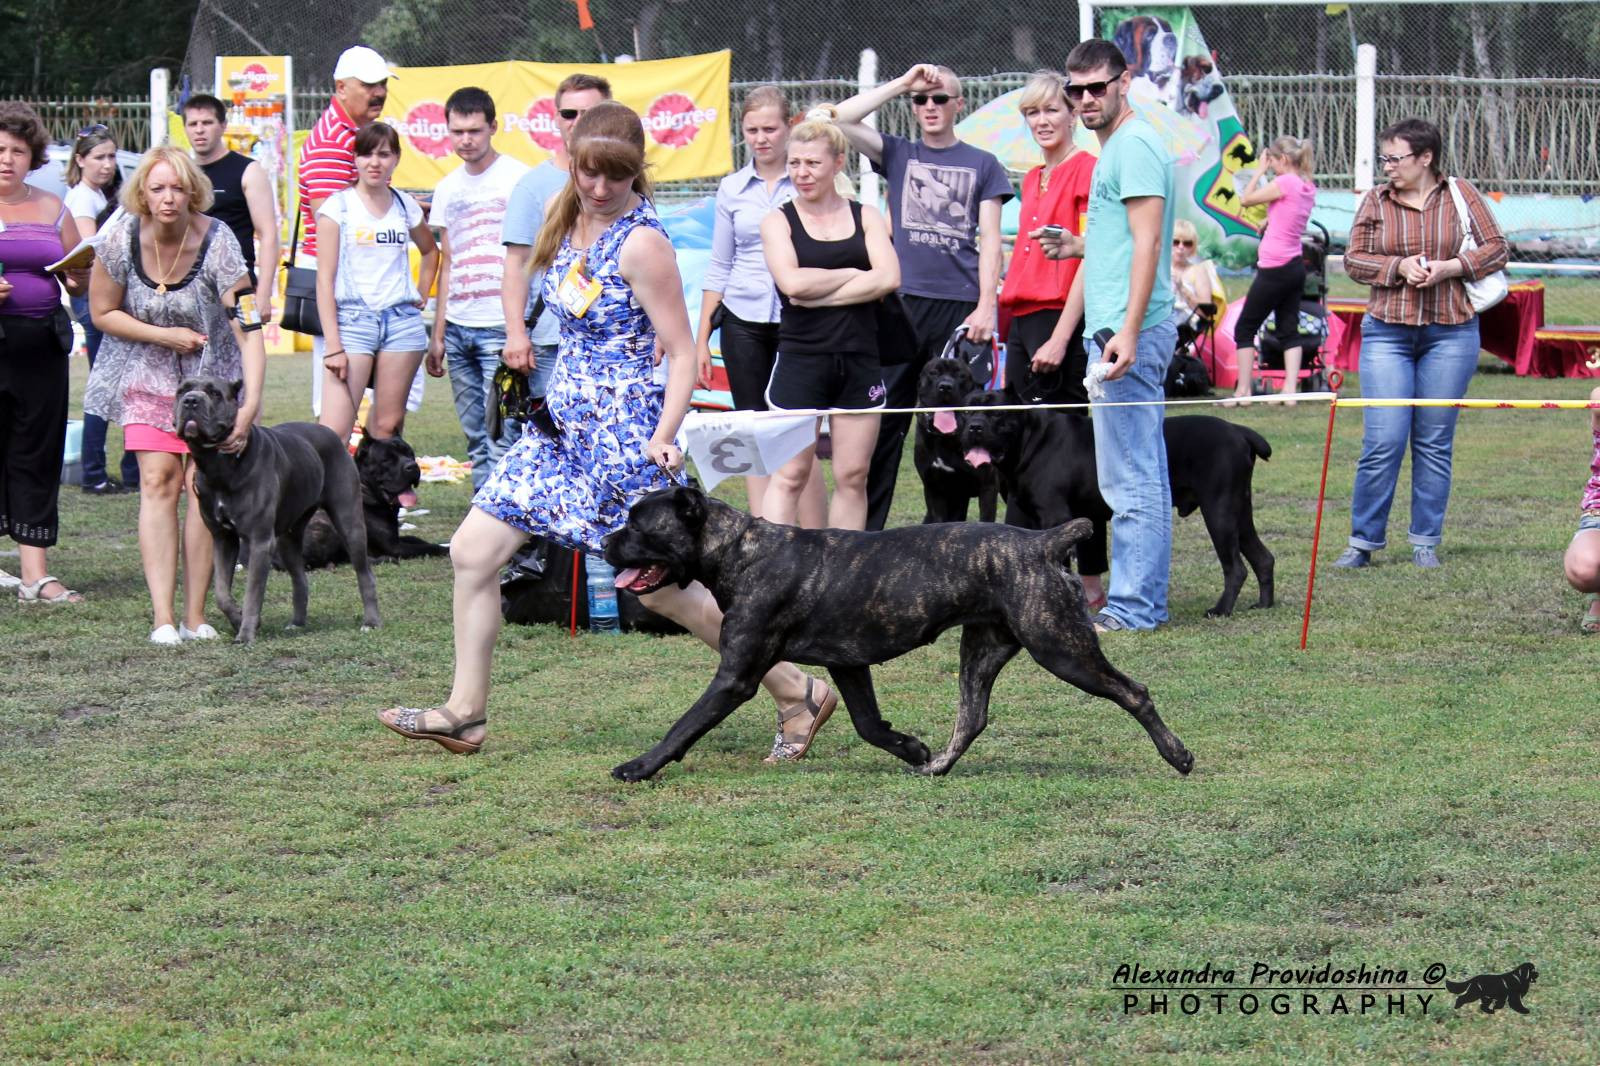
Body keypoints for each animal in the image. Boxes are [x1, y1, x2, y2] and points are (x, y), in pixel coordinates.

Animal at [172, 372, 380, 640]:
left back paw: (371, 622)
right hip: (288, 538)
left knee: (365, 574)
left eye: (215, 393)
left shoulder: (260, 541)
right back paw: (297, 623)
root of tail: (332, 434)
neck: (219, 464)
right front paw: (238, 619)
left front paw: (246, 634)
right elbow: (221, 593)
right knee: (300, 578)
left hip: (350, 523)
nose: (190, 401)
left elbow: (252, 594)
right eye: (181, 391)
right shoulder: (222, 538)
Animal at [299, 428, 451, 569]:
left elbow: (416, 538)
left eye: (410, 454)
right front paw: (447, 549)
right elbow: (429, 547)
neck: (366, 493)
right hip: (326, 526)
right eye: (387, 460)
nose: (412, 466)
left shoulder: (395, 538)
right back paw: (385, 559)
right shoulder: (394, 547)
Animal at [598, 486, 1190, 777]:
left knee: (1134, 692)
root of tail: (1044, 542)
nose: (603, 542)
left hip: (1061, 648)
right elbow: (868, 725)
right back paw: (937, 766)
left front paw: (639, 767)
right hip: (982, 652)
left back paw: (1178, 756)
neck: (737, 551)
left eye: (638, 524)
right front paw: (910, 747)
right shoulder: (848, 665)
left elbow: (684, 725)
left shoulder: (735, 676)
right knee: (972, 718)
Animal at [960, 392, 1273, 614]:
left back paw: (1221, 610)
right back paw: (1264, 604)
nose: (974, 427)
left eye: (996, 413)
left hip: (1219, 510)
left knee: (1235, 567)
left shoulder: (1055, 517)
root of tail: (1239, 431)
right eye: (966, 412)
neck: (1030, 438)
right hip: (1239, 511)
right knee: (1263, 557)